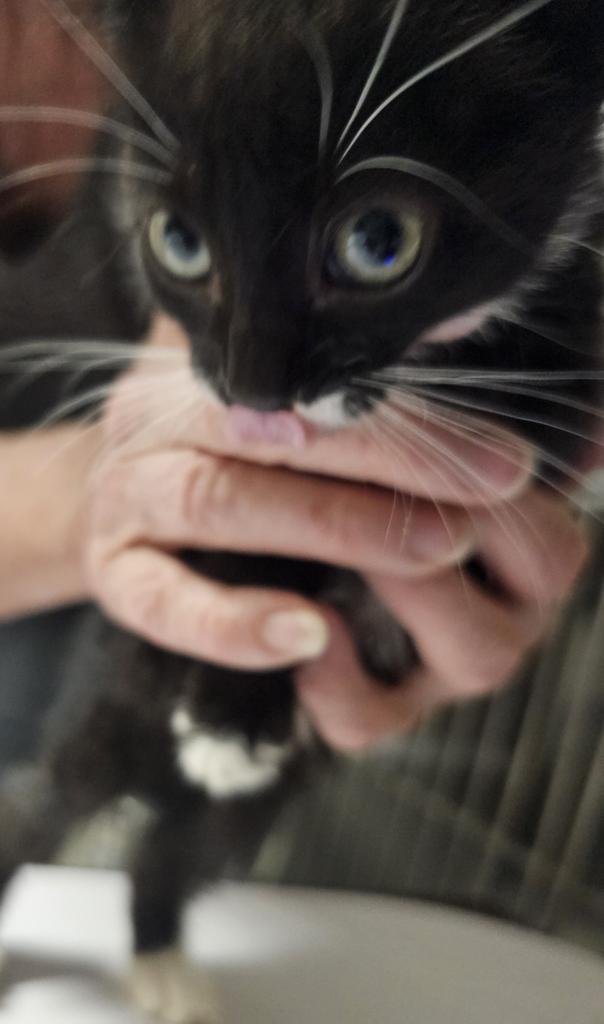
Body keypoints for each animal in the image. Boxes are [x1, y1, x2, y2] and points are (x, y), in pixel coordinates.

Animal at [1, 4, 604, 1019]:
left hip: (253, 807)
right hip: (111, 703)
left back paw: (163, 949)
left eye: (378, 243)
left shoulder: (567, 380)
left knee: (175, 850)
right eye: (178, 240)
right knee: (47, 802)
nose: (251, 391)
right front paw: (236, 703)